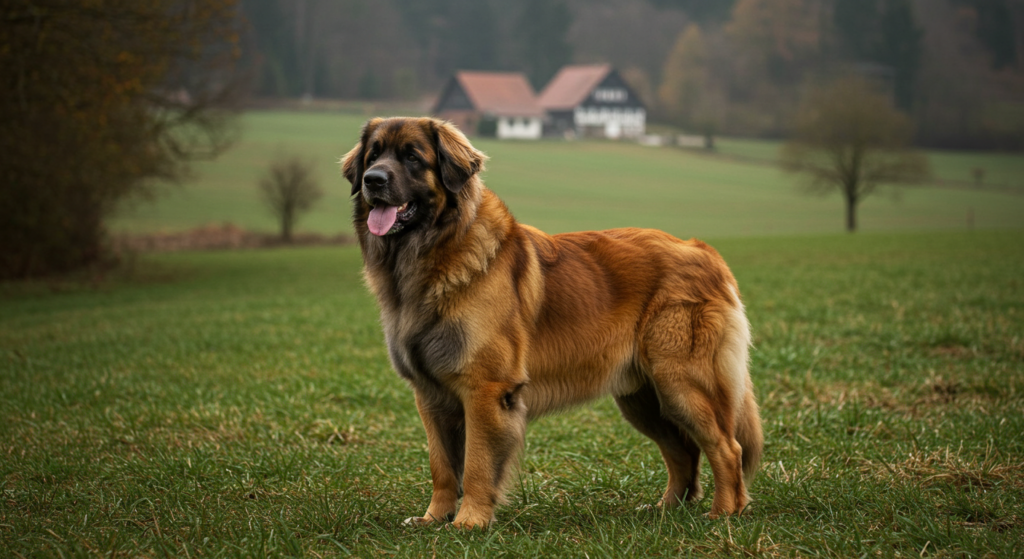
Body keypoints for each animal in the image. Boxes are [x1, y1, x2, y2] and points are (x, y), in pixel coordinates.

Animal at [342, 116, 761, 528]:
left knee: (727, 447)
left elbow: (476, 464)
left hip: (681, 382)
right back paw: (666, 509)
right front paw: (434, 518)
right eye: (373, 156)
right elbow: (442, 465)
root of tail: (701, 249)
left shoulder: (484, 390)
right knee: (684, 451)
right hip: (644, 398)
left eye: (413, 158)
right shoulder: (429, 395)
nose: (373, 180)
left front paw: (469, 522)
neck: (433, 253)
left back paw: (723, 513)